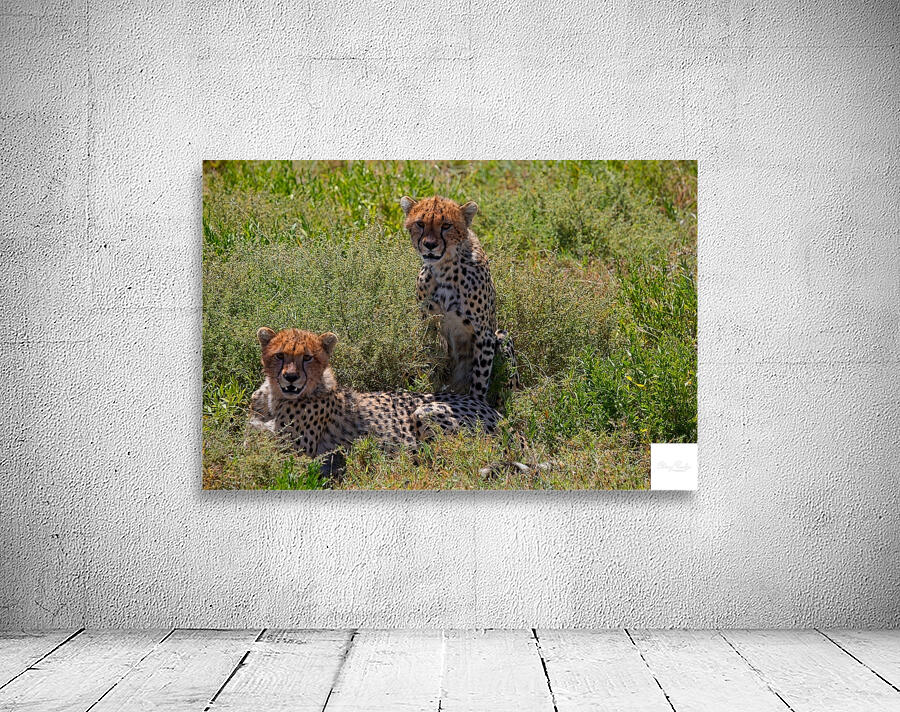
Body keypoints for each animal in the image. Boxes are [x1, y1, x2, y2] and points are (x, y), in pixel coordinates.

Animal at [247, 327, 500, 458]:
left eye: (307, 357)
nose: (290, 377)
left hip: (425, 412)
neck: (275, 398)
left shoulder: (296, 451)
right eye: (280, 355)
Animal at [400, 194, 519, 400]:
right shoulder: (427, 324)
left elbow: (480, 378)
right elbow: (427, 364)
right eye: (420, 223)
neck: (445, 268)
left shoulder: (484, 334)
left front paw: (476, 403)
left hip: (502, 336)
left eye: (446, 225)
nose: (430, 245)